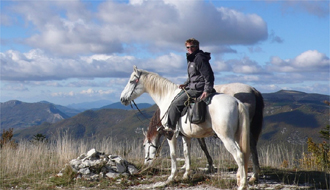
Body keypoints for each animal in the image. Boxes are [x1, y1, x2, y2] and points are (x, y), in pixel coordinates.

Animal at [120, 66, 250, 189]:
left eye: (132, 81)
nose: (122, 99)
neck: (167, 97)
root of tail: (237, 102)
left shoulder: (171, 135)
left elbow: (173, 154)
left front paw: (171, 177)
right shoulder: (186, 136)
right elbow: (187, 153)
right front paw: (186, 174)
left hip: (226, 137)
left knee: (239, 155)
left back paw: (242, 184)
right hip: (235, 136)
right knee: (243, 154)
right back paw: (240, 178)